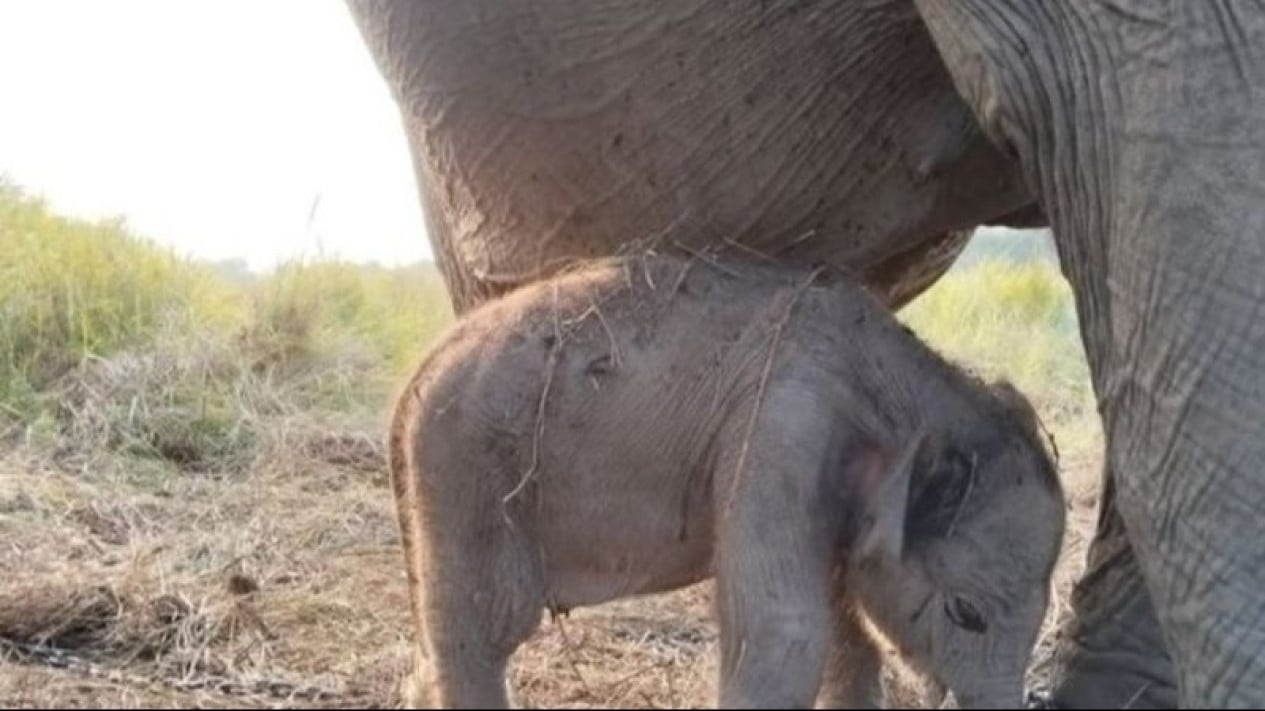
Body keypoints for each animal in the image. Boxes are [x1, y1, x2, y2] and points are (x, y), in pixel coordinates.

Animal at [388, 252, 1066, 708]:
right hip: (465, 471)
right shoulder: (781, 428)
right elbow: (783, 629)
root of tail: (417, 375)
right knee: (488, 627)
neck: (898, 373)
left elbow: (847, 630)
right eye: (966, 613)